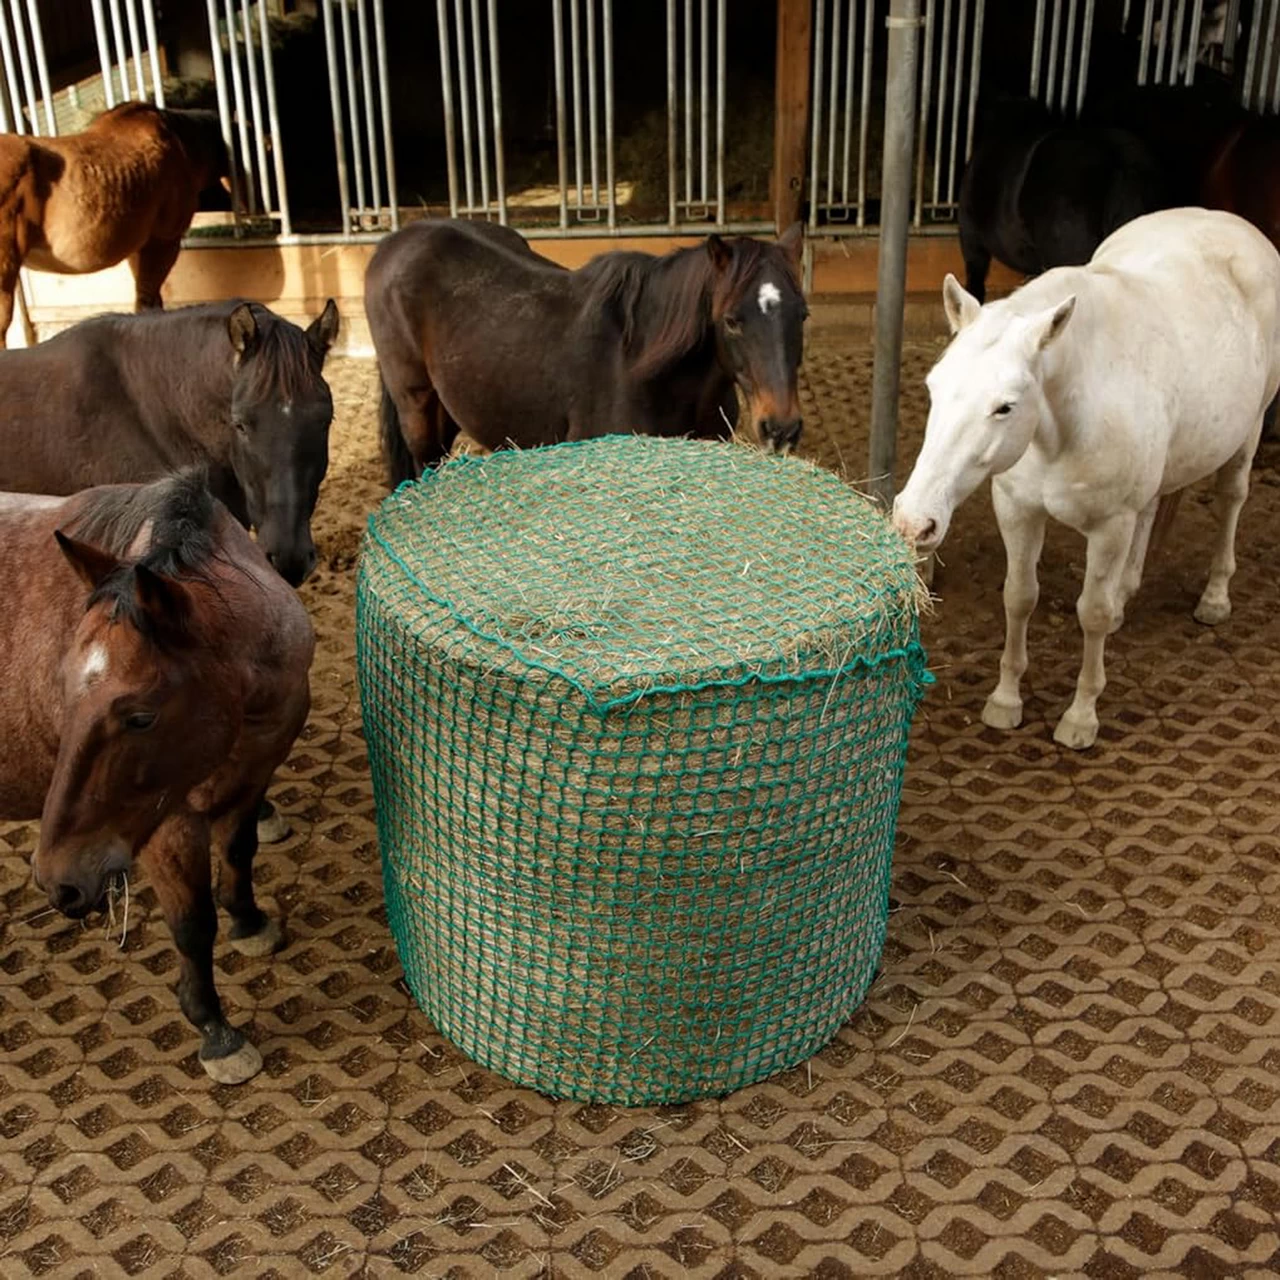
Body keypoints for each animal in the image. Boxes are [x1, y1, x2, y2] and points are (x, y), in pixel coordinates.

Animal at [3, 470, 314, 1084]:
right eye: (63, 689)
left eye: (140, 717)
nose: (58, 882)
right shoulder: (162, 825)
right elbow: (191, 923)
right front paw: (215, 1030)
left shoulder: (251, 778)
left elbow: (239, 852)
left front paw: (249, 921)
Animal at [365, 219, 807, 484]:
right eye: (731, 320)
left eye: (803, 313)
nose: (782, 428)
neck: (644, 371)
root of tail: (397, 240)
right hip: (415, 404)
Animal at [893, 208, 1280, 750]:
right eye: (934, 386)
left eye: (1004, 406)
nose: (915, 521)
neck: (1063, 423)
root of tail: (1233, 224)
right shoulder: (1017, 510)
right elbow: (1019, 596)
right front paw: (1005, 701)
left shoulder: (1109, 526)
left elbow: (1090, 613)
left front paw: (1080, 717)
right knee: (1152, 508)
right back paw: (1126, 597)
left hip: (1251, 428)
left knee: (1230, 499)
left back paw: (1214, 597)